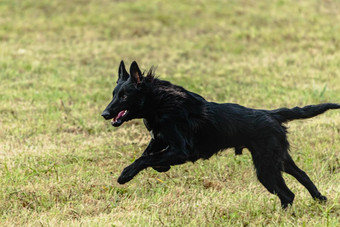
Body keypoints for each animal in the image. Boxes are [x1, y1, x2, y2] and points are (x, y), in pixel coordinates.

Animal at [101, 60, 340, 209]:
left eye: (124, 96)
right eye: (113, 94)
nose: (104, 114)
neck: (159, 103)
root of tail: (271, 114)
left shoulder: (182, 151)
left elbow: (145, 159)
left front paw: (125, 175)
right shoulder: (160, 140)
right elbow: (148, 155)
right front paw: (158, 167)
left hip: (267, 167)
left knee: (288, 194)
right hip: (279, 159)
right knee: (302, 177)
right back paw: (320, 199)